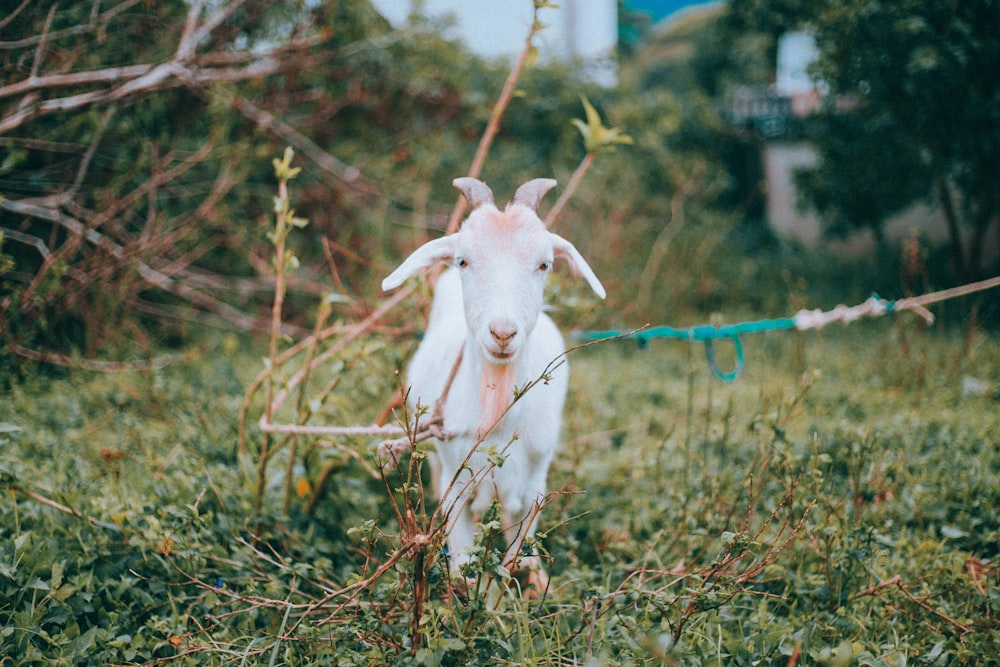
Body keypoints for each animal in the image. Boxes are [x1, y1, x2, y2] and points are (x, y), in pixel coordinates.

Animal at [380, 177, 600, 588]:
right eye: (463, 260)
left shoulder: (534, 485)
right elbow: (465, 567)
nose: (502, 333)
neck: (499, 415)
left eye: (544, 263)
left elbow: (517, 555)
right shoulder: (457, 487)